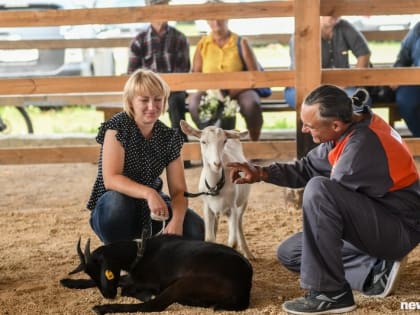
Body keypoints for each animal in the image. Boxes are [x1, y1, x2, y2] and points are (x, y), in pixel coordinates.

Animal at [60, 233, 253, 314]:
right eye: (90, 274)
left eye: (107, 272)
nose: (108, 296)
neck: (140, 251)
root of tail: (244, 288)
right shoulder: (132, 277)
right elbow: (123, 280)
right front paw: (68, 282)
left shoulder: (148, 281)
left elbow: (126, 285)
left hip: (185, 283)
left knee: (154, 306)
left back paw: (102, 309)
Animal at [180, 119, 253, 260]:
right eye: (203, 141)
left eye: (224, 141)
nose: (217, 164)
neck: (216, 186)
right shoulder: (207, 207)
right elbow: (209, 238)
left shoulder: (232, 207)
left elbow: (233, 242)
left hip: (244, 201)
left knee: (239, 223)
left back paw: (248, 253)